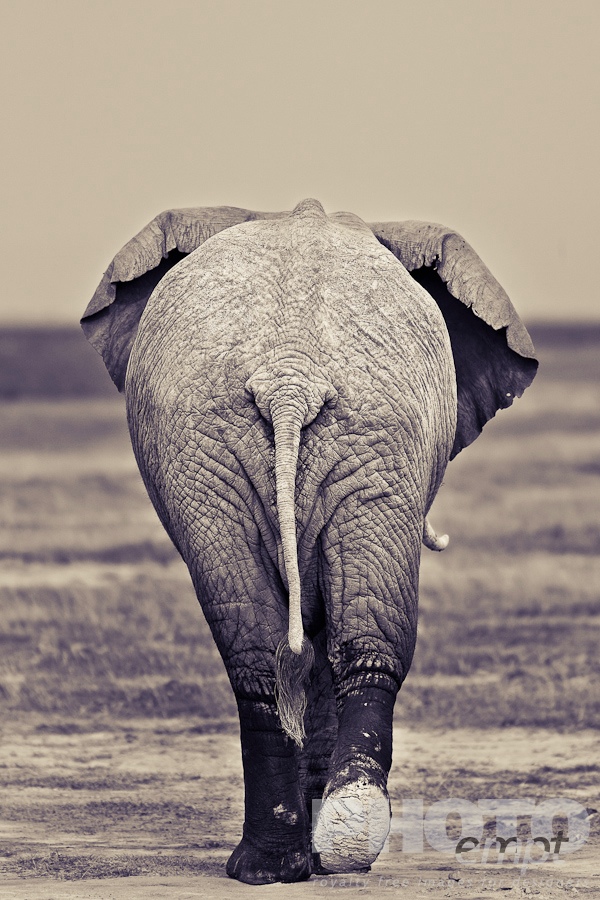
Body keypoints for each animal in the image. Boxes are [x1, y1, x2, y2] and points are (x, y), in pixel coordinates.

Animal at [81, 199, 537, 884]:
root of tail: (290, 379)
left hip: (303, 445)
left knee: (271, 646)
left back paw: (302, 856)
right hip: (286, 447)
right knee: (316, 640)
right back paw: (316, 853)